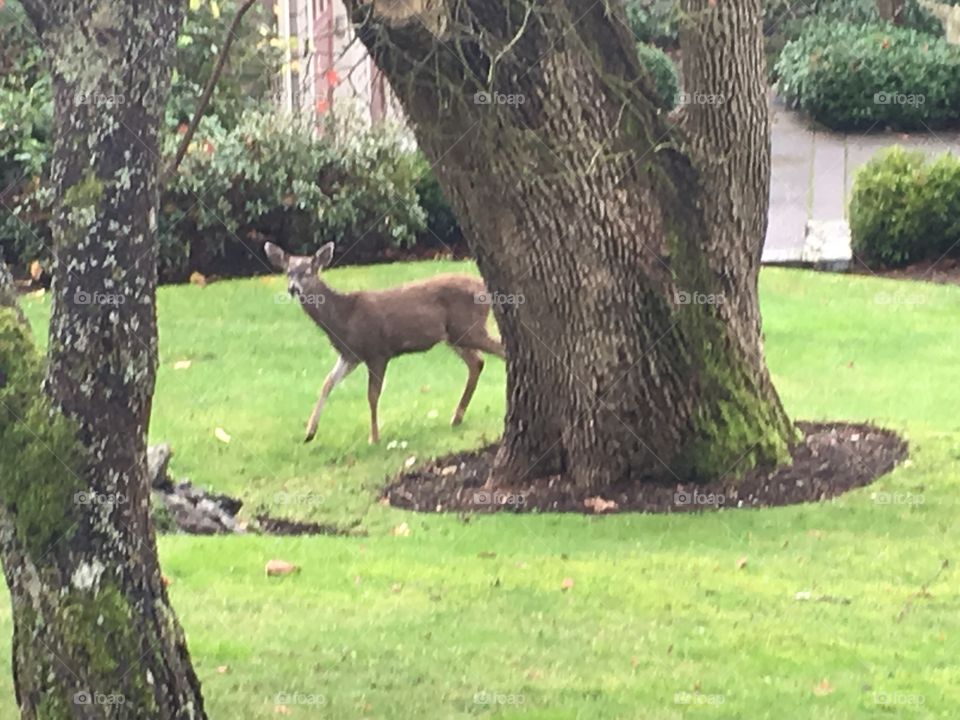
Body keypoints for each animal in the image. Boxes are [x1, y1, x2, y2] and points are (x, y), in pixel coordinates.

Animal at [262, 242, 502, 444]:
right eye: (288, 272)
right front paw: (310, 432)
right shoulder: (350, 355)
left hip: (469, 328)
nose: (293, 289)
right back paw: (456, 417)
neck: (344, 317)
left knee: (500, 349)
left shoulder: (377, 352)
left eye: (308, 272)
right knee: (477, 362)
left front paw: (374, 438)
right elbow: (327, 382)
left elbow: (372, 395)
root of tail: (484, 288)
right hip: (455, 336)